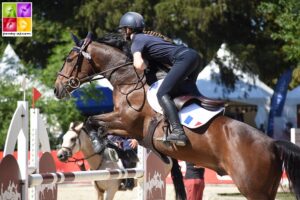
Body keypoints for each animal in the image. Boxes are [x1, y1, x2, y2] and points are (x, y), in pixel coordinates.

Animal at [54, 32, 300, 199]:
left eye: (69, 59)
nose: (57, 89)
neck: (128, 80)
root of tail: (273, 144)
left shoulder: (127, 122)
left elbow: (92, 121)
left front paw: (98, 143)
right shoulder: (126, 125)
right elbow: (97, 123)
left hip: (253, 188)